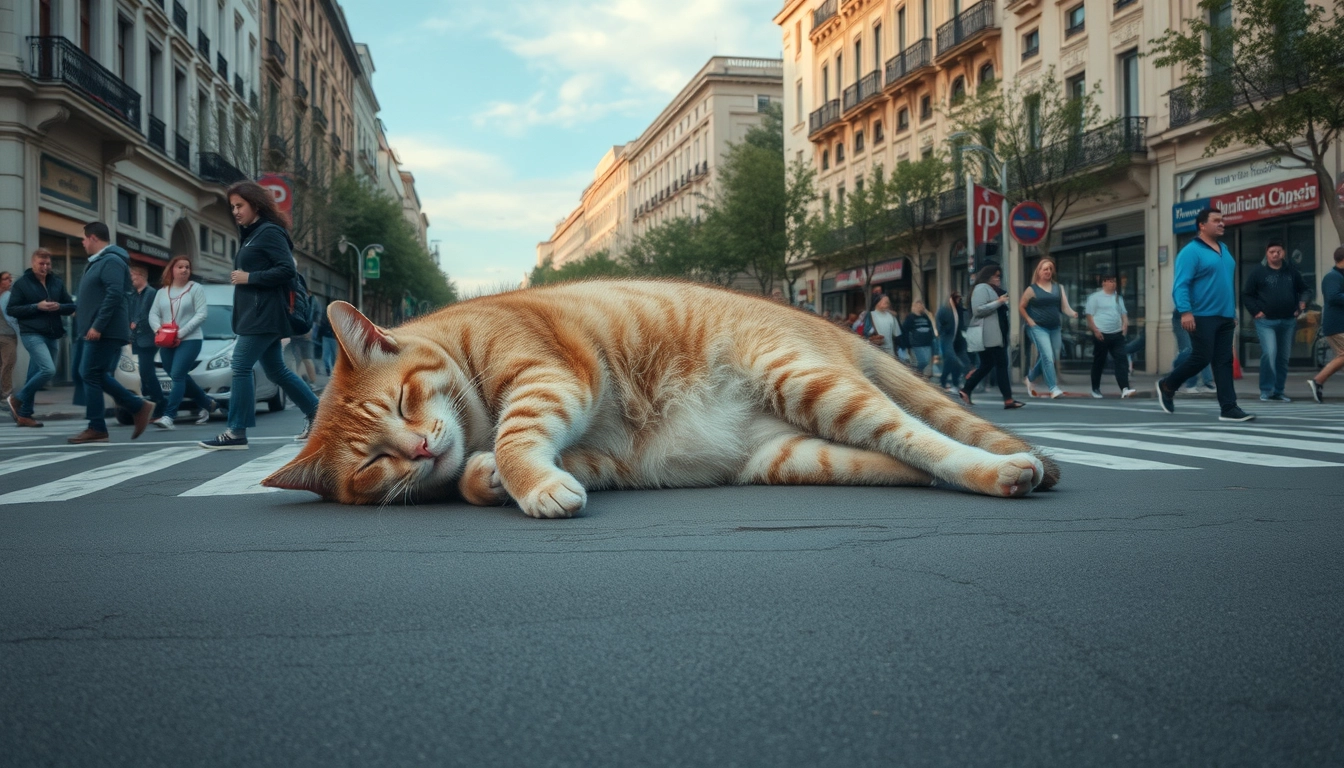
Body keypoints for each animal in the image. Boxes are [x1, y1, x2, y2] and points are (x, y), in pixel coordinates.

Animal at [264, 279, 1059, 519]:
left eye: (403, 402)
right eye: (371, 464)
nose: (420, 447)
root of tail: (828, 323)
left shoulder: (548, 378)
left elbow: (519, 441)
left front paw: (522, 481)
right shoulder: (605, 459)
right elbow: (490, 470)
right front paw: (485, 477)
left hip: (812, 384)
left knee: (926, 438)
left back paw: (1007, 469)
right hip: (799, 454)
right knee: (907, 460)